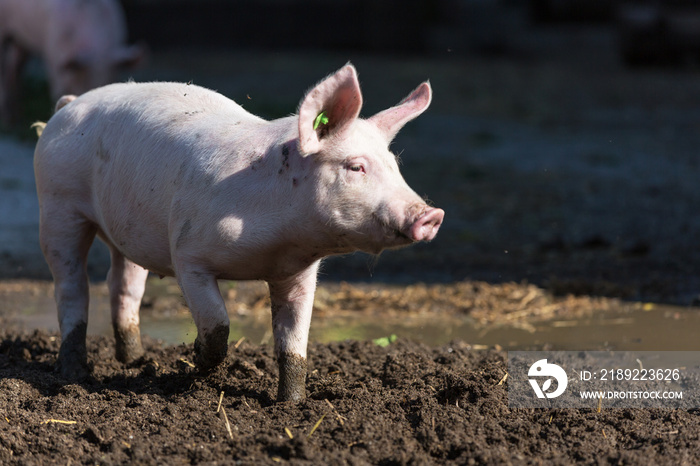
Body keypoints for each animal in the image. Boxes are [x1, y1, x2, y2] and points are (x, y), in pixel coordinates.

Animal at [0, 0, 144, 126]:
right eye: (83, 78)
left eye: (110, 78)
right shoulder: (55, 53)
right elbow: (57, 88)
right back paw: (7, 121)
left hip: (21, 39)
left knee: (15, 66)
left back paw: (16, 118)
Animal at [34, 63, 442, 402]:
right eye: (355, 167)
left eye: (395, 165)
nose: (431, 214)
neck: (278, 244)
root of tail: (68, 105)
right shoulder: (187, 254)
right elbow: (218, 324)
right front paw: (196, 359)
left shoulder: (298, 273)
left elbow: (294, 341)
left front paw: (292, 403)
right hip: (57, 205)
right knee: (71, 286)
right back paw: (74, 373)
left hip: (128, 227)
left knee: (123, 284)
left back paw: (134, 362)